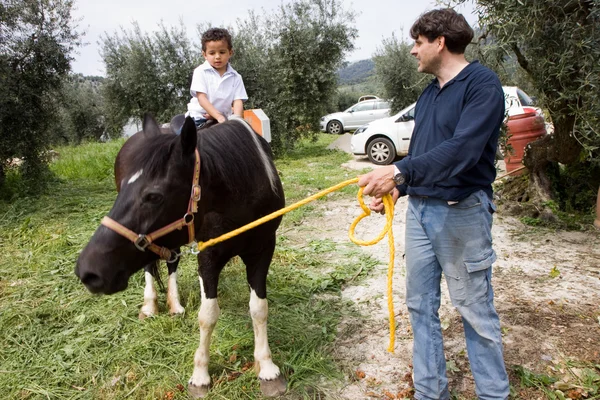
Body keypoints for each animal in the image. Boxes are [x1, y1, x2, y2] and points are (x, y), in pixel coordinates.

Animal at [72, 114, 288, 398]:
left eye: (154, 196)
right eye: (124, 191)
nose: (87, 270)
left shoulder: (262, 251)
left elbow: (259, 309)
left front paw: (266, 368)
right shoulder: (208, 256)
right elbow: (208, 315)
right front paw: (200, 375)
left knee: (171, 261)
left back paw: (174, 304)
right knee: (151, 266)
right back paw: (151, 305)